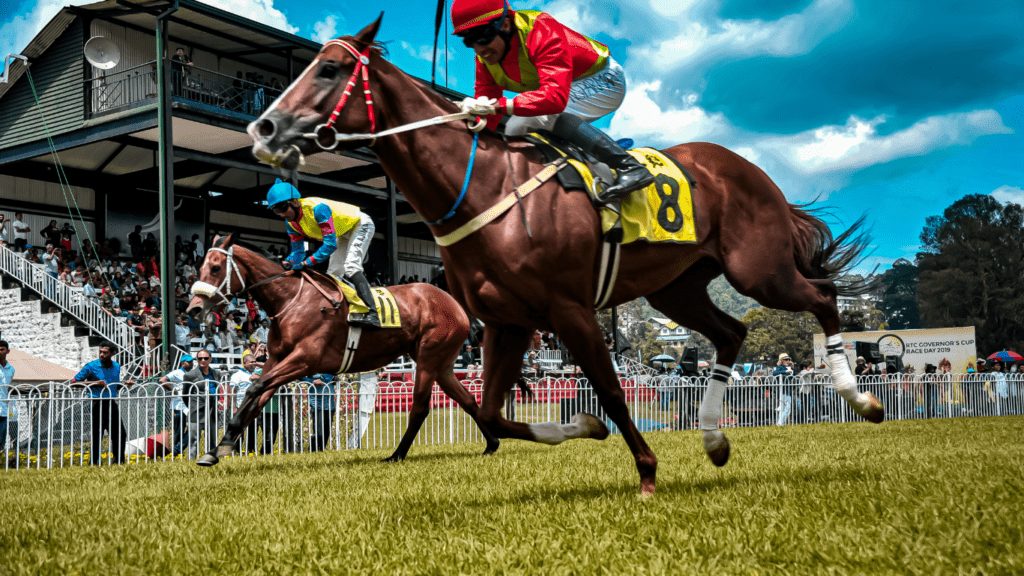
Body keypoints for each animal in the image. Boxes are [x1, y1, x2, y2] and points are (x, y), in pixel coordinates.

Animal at [188, 233, 503, 461]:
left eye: (215, 268)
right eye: (200, 267)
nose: (193, 309)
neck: (289, 300)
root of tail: (456, 304)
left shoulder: (305, 359)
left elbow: (255, 388)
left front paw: (221, 446)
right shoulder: (276, 360)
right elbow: (255, 397)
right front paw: (218, 448)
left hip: (429, 358)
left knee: (420, 408)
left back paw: (397, 454)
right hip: (443, 364)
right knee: (468, 399)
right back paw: (491, 443)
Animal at [245, 17, 880, 494]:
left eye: (328, 69)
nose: (264, 125)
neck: (483, 187)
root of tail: (745, 165)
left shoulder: (568, 309)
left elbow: (613, 391)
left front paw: (646, 472)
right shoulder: (508, 322)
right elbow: (493, 411)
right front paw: (582, 427)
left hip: (759, 269)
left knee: (821, 297)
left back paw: (859, 397)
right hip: (675, 288)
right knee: (732, 332)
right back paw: (714, 438)